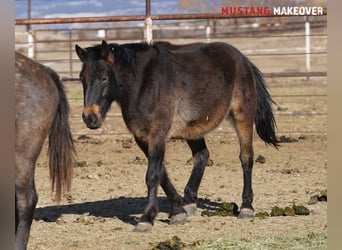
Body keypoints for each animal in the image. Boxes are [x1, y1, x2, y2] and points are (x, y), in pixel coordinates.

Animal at [75, 40, 278, 231]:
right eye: (82, 78)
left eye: (104, 78)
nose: (90, 117)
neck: (143, 84)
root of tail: (243, 59)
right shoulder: (142, 138)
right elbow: (162, 173)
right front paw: (178, 212)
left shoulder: (157, 135)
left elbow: (152, 175)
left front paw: (146, 219)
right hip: (193, 128)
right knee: (202, 156)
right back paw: (189, 202)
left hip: (242, 117)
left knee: (246, 158)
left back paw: (246, 208)